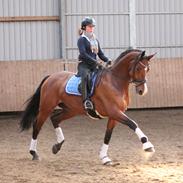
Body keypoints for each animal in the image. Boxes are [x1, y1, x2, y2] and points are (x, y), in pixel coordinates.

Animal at [20, 49, 156, 165]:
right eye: (138, 68)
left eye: (148, 69)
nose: (142, 91)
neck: (115, 82)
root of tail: (50, 77)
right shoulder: (114, 112)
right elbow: (132, 123)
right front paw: (147, 145)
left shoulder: (114, 116)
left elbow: (108, 135)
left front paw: (104, 158)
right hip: (46, 107)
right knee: (37, 126)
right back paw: (34, 153)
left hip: (71, 110)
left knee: (55, 118)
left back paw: (57, 146)